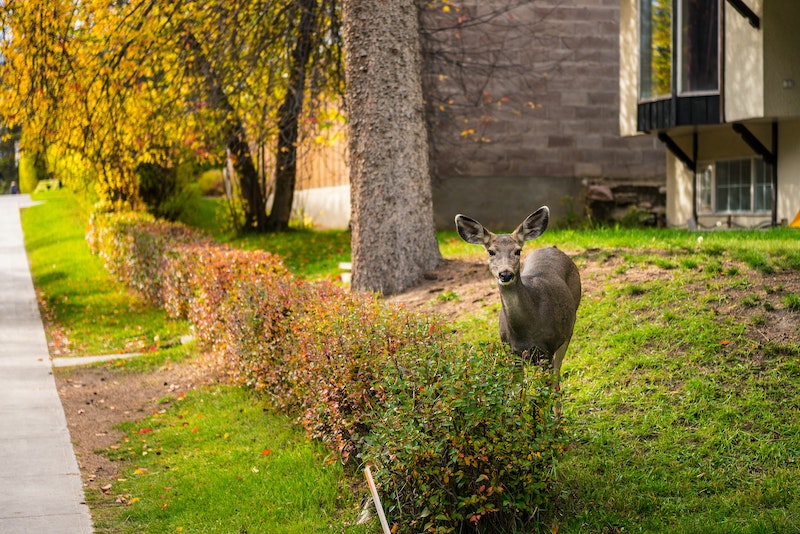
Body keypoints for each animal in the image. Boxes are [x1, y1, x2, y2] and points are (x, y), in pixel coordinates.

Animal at [456, 206, 580, 390]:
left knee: (557, 379)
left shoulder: (547, 350)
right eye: (491, 251)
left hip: (568, 328)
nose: (505, 274)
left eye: (517, 250)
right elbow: (517, 390)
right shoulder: (510, 352)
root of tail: (553, 247)